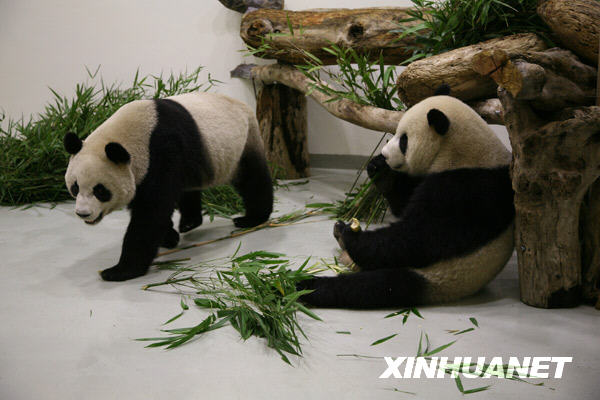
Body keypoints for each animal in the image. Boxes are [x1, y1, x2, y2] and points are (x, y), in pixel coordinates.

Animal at [63, 93, 274, 282]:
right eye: (75, 188)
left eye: (100, 190)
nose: (83, 213)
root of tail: (244, 105)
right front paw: (169, 237)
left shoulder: (161, 152)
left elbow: (151, 212)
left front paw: (119, 271)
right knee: (188, 189)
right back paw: (189, 222)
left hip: (243, 144)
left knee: (252, 179)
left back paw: (251, 219)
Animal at [300, 86, 516, 306]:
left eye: (404, 140)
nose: (385, 154)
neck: (463, 152)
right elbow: (404, 203)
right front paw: (380, 171)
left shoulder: (465, 188)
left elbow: (420, 235)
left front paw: (350, 234)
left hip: (436, 276)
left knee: (373, 287)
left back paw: (307, 284)